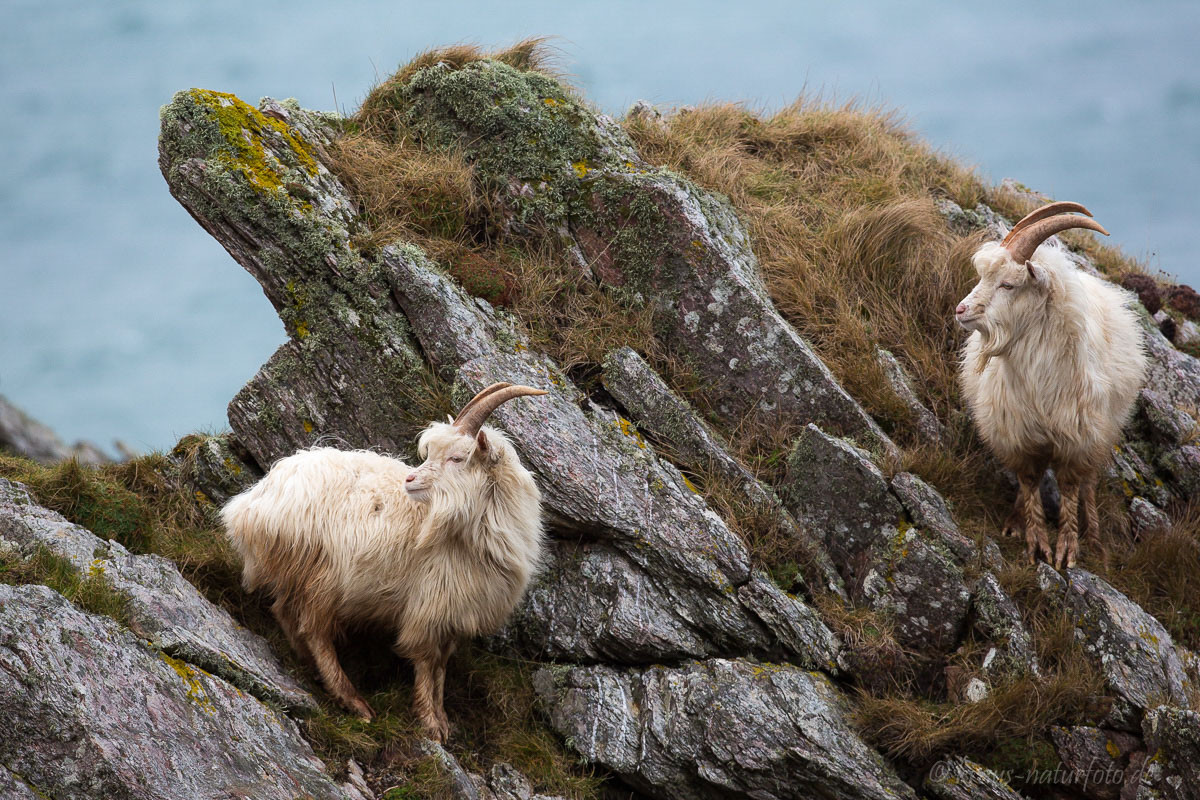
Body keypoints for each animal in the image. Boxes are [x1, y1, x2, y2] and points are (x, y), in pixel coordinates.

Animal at [222, 383, 549, 743]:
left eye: (457, 458)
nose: (410, 480)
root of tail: (254, 503)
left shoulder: (450, 614)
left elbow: (441, 666)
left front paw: (443, 719)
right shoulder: (429, 606)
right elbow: (427, 663)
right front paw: (431, 724)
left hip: (298, 572)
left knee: (284, 611)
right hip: (321, 576)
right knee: (313, 629)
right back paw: (352, 700)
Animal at [955, 203, 1142, 573]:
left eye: (1008, 284)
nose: (961, 310)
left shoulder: (1077, 437)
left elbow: (1070, 487)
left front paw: (1067, 551)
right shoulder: (1017, 433)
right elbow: (1029, 482)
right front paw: (1035, 543)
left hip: (1103, 430)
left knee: (1089, 483)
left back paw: (1095, 539)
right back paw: (1015, 520)